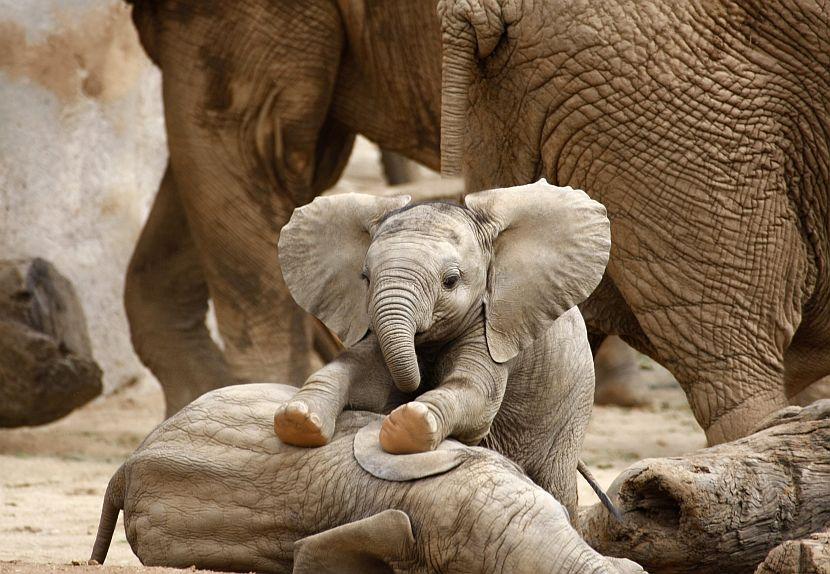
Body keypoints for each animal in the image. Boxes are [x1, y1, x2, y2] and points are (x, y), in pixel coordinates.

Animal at [272, 181, 612, 516]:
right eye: (365, 278)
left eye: (450, 281)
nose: (415, 388)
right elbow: (359, 372)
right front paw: (297, 419)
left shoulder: (493, 326)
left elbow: (475, 394)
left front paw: (408, 424)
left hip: (572, 408)